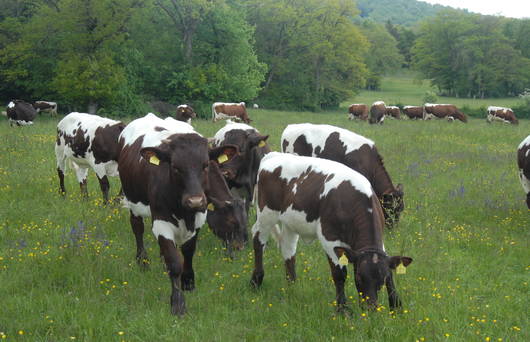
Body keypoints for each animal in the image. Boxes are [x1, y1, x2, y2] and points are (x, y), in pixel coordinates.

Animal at [117, 113, 245, 316]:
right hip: (132, 199)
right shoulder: (161, 221)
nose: (195, 201)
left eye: (205, 165)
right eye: (175, 167)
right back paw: (143, 261)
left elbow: (188, 252)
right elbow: (175, 261)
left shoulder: (198, 219)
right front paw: (177, 303)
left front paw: (189, 282)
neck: (185, 212)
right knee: (137, 228)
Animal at [250, 152, 410, 312]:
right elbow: (340, 274)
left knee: (288, 250)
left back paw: (292, 286)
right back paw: (256, 281)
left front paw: (396, 306)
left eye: (382, 280)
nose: (370, 307)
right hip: (266, 214)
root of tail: (273, 155)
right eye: (358, 277)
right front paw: (343, 309)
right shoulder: (330, 238)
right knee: (258, 240)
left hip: (290, 222)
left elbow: (390, 272)